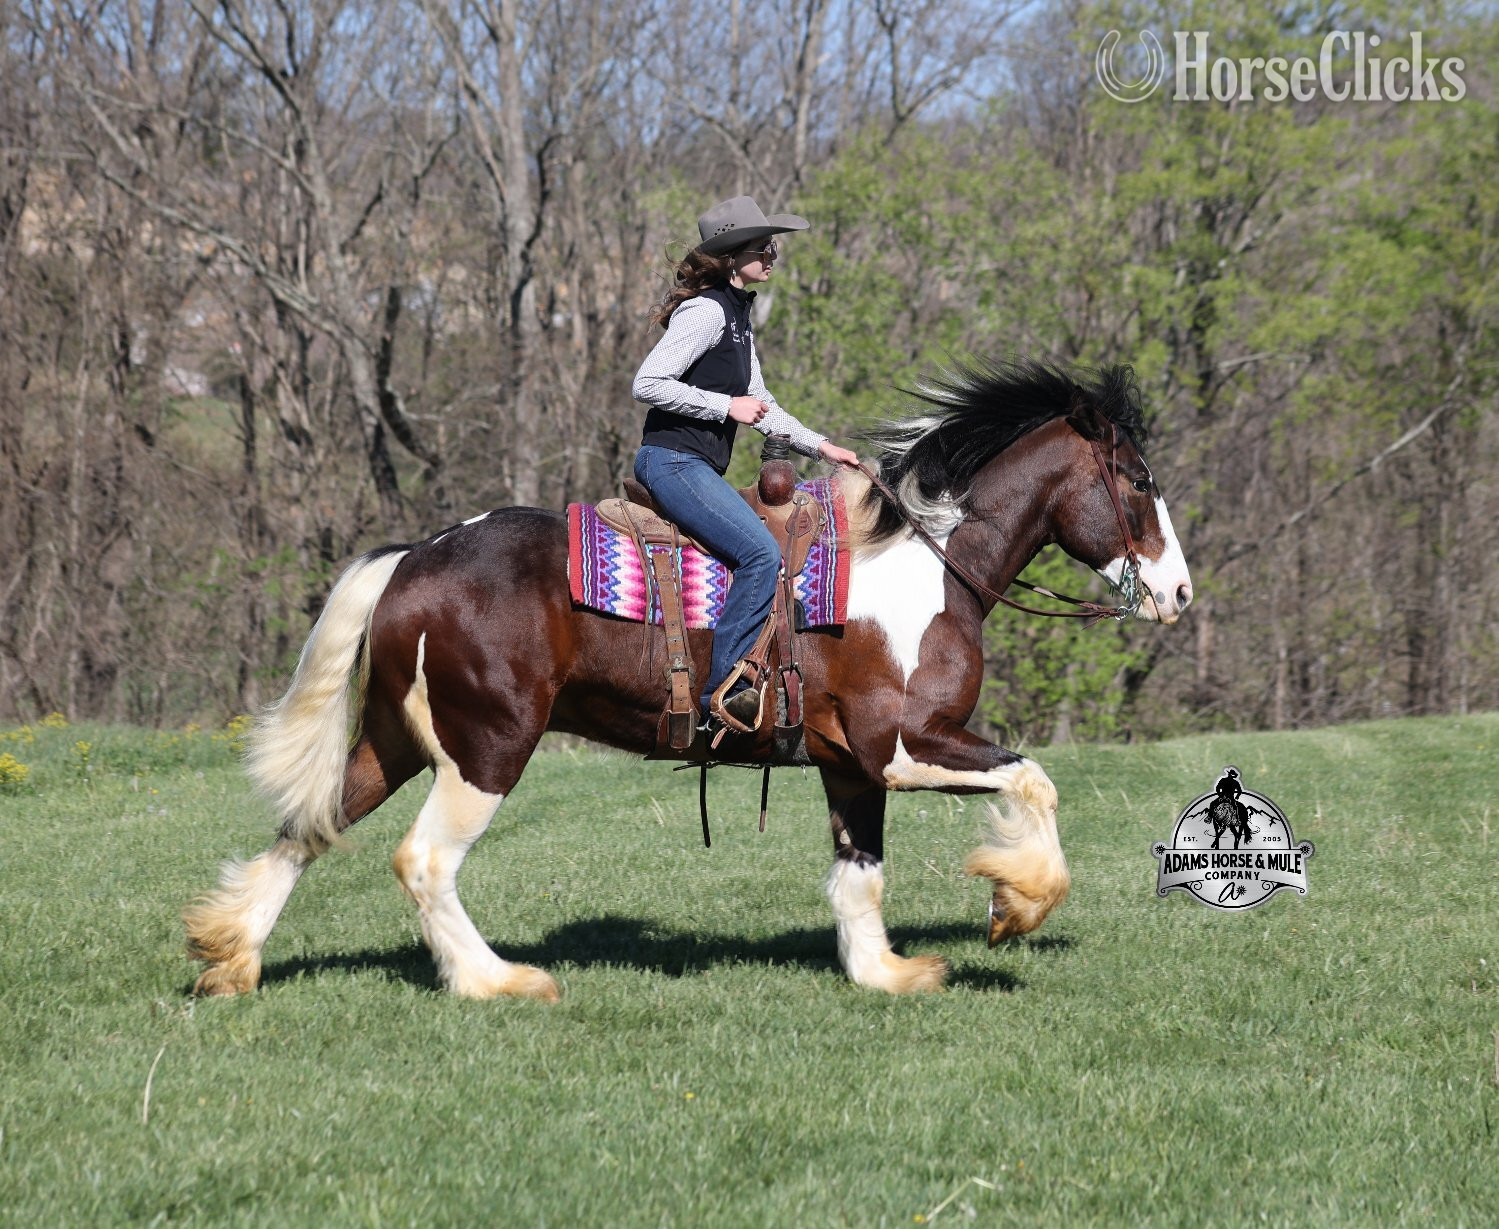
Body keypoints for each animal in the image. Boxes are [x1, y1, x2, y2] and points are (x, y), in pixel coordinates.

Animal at [185, 359, 1192, 1000]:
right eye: (1137, 478)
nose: (1178, 592)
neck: (925, 565)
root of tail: (415, 558)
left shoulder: (848, 766)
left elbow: (858, 877)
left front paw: (886, 973)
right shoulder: (903, 747)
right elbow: (1033, 780)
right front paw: (1016, 904)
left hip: (393, 741)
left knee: (308, 826)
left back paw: (231, 957)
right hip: (487, 748)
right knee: (423, 860)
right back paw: (495, 980)